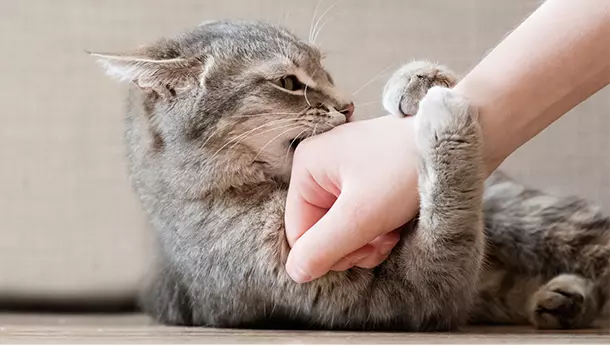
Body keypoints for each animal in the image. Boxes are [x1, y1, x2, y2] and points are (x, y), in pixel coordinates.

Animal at [91, 20, 608, 332]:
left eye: (325, 69)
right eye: (289, 82)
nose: (348, 106)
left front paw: (416, 83)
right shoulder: (408, 297)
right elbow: (449, 229)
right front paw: (445, 126)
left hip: (527, 215)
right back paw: (560, 300)